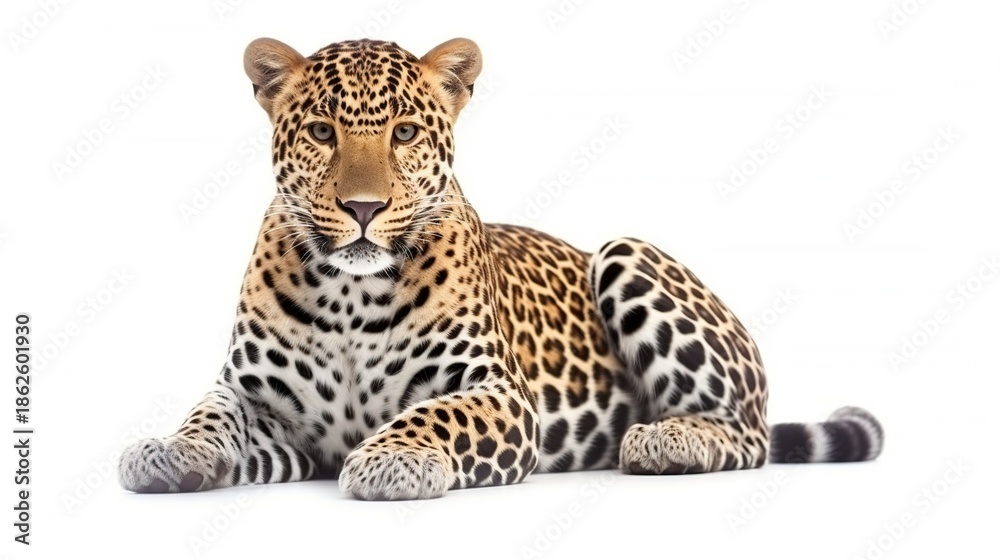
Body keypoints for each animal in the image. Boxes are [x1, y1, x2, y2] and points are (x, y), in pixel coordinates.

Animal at [118, 37, 884, 500]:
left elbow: (434, 415)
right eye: (321, 132)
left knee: (747, 435)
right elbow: (210, 415)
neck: (349, 296)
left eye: (404, 132)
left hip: (626, 252)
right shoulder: (261, 405)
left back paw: (665, 439)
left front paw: (390, 459)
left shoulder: (498, 394)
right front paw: (166, 451)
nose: (363, 208)